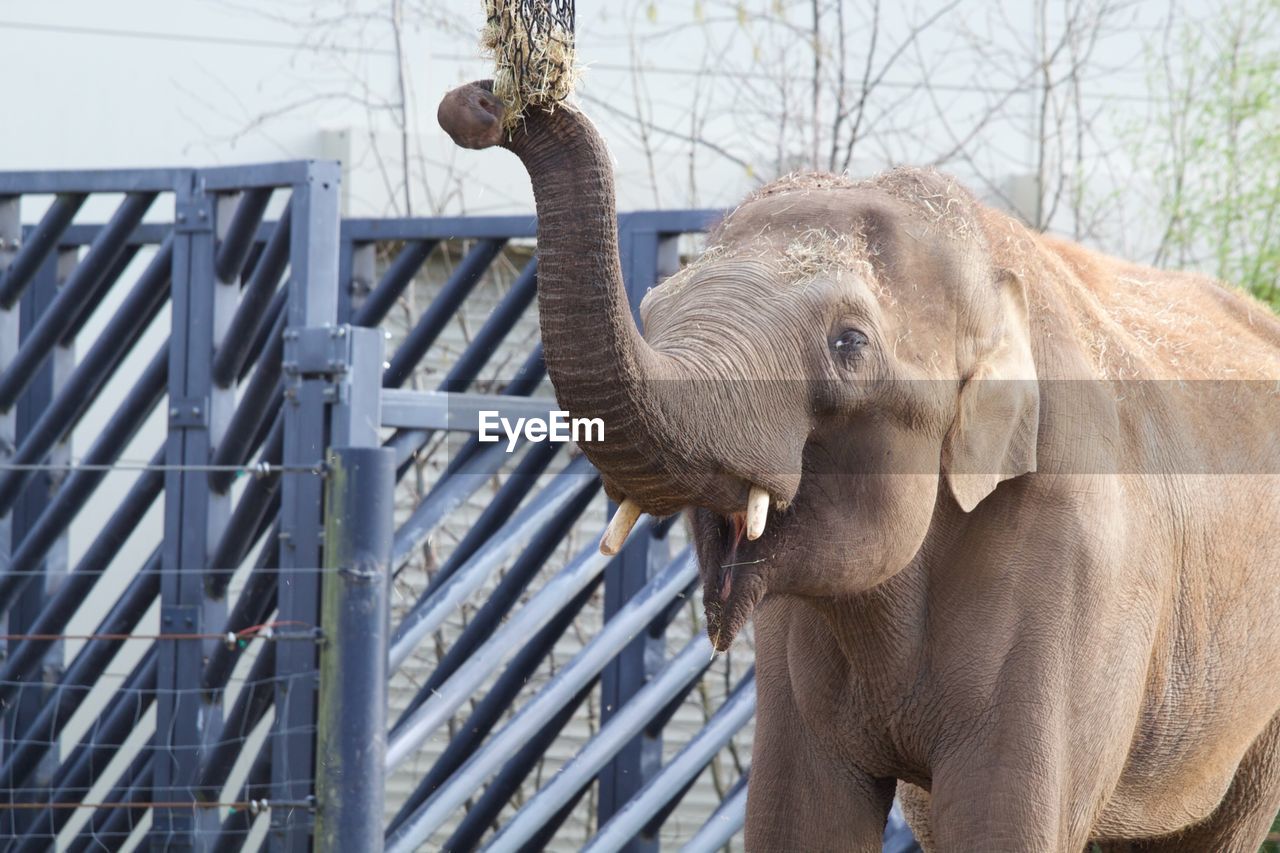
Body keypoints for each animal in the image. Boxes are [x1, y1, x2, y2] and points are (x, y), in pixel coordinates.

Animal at [437, 81, 1280, 850]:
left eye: (849, 344)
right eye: (653, 308)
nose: (479, 103)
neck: (988, 265)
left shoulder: (1076, 566)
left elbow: (1004, 822)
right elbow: (800, 818)